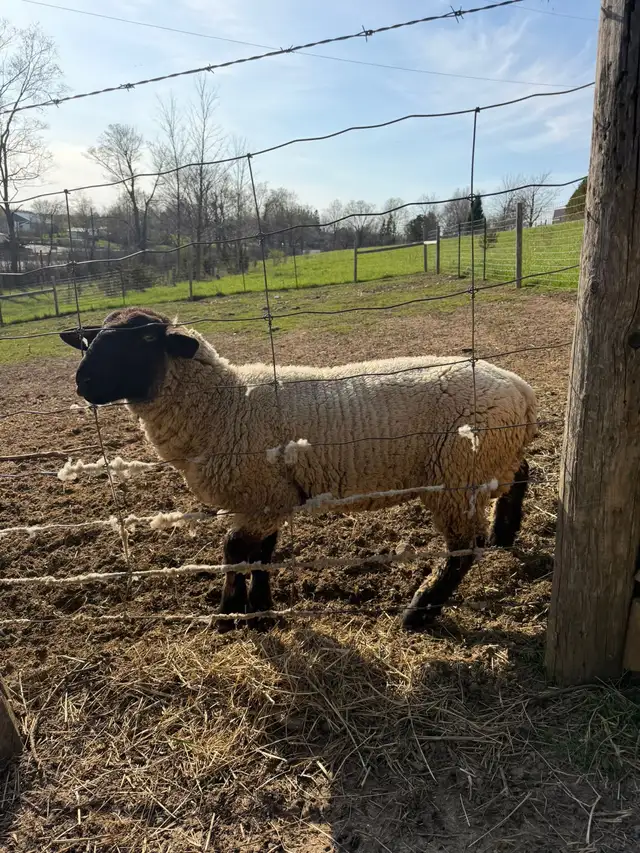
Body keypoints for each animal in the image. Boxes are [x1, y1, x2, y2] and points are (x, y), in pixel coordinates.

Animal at [59, 307, 537, 632]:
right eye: (93, 339)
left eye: (142, 341)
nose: (82, 383)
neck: (224, 404)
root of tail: (520, 387)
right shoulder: (268, 496)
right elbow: (261, 553)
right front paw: (260, 610)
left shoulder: (263, 496)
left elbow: (234, 550)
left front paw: (228, 614)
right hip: (489, 464)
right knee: (522, 474)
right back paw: (504, 532)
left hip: (457, 477)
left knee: (463, 549)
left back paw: (420, 610)